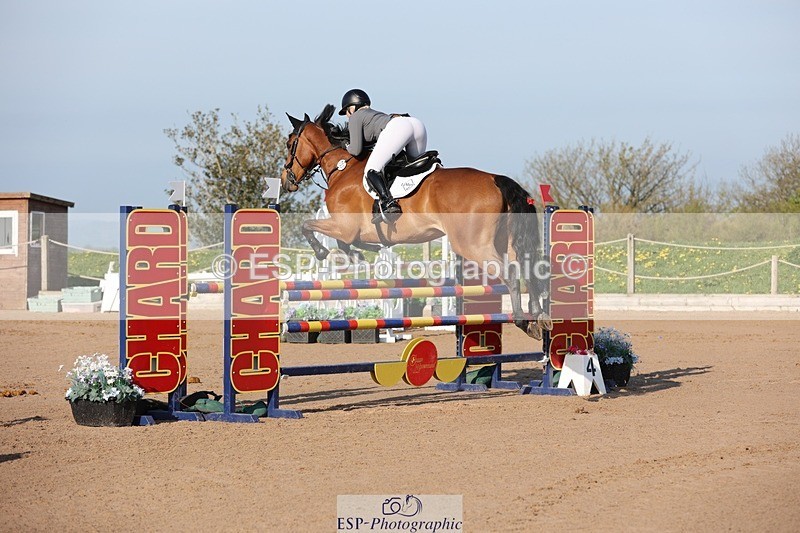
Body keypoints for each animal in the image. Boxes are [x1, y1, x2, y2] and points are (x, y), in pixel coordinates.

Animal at [280, 104, 552, 339]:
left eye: (290, 144)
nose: (285, 180)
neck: (342, 167)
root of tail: (497, 180)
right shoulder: (348, 230)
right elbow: (346, 244)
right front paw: (361, 253)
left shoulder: (344, 227)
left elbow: (309, 227)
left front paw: (323, 251)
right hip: (506, 242)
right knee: (527, 268)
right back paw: (539, 317)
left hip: (472, 245)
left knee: (511, 273)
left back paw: (523, 321)